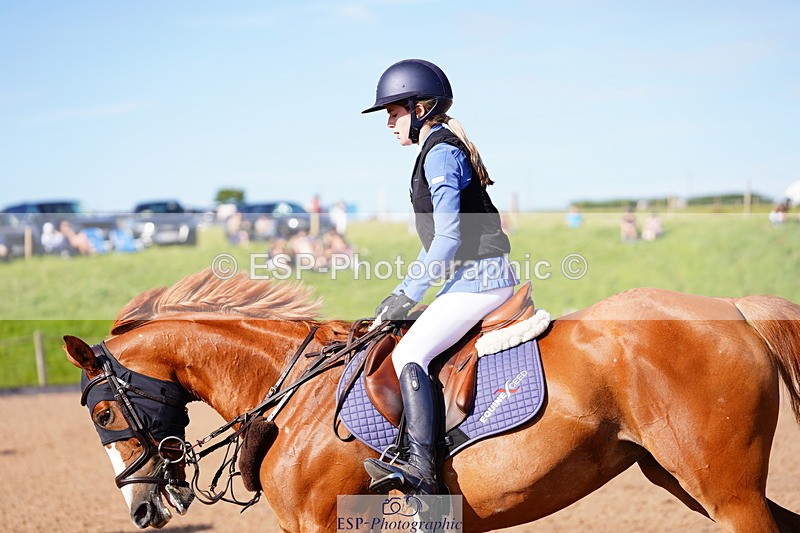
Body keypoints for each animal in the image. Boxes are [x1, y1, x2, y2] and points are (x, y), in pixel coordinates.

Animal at [63, 268, 800, 532]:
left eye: (102, 412)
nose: (143, 509)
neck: (294, 396)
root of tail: (734, 307)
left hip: (724, 489)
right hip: (681, 477)